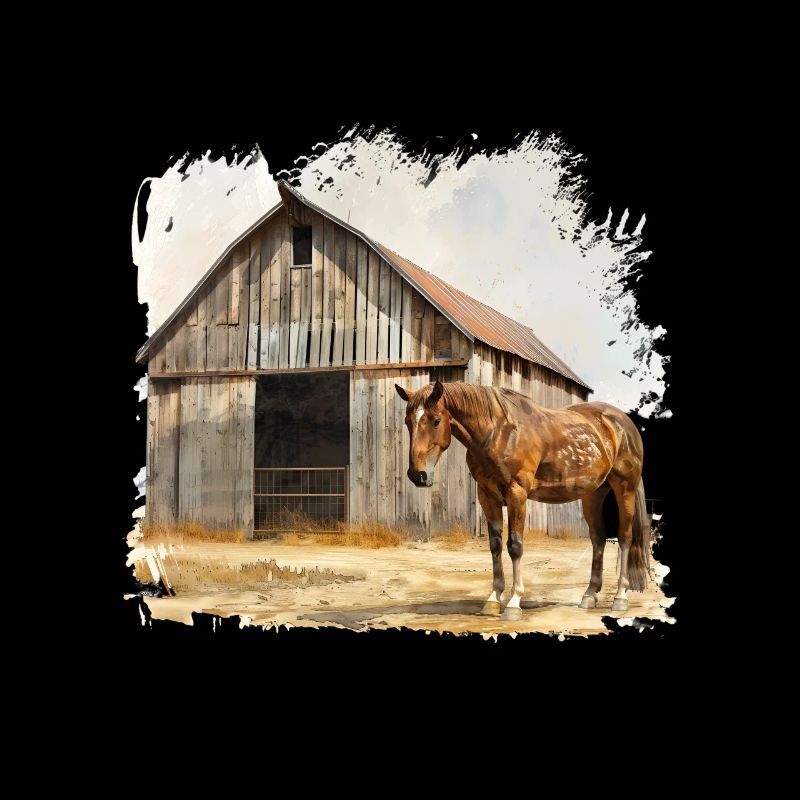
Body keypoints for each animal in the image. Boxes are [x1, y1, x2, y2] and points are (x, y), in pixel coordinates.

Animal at [395, 380, 650, 620]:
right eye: (407, 421)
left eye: (436, 420)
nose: (417, 475)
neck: (498, 432)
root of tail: (624, 424)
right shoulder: (487, 496)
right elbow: (495, 545)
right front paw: (493, 599)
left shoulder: (517, 493)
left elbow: (515, 546)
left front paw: (514, 602)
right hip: (593, 494)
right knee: (598, 539)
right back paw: (589, 595)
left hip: (624, 488)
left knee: (624, 537)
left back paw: (620, 596)